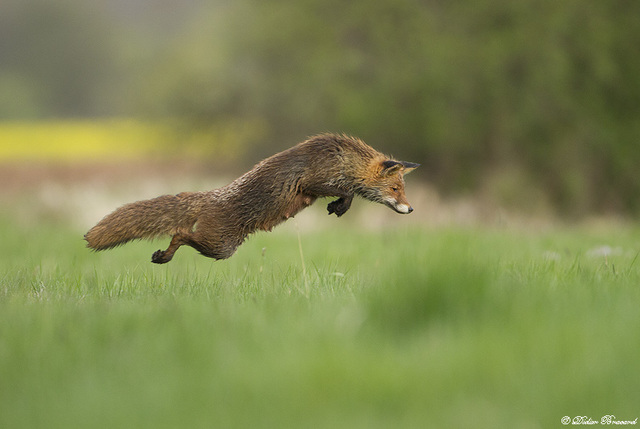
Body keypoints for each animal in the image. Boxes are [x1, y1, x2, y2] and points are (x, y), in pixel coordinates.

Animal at [85, 132, 420, 262]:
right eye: (395, 190)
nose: (411, 209)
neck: (342, 159)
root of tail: (211, 196)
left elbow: (347, 191)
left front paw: (339, 207)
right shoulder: (311, 182)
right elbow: (347, 191)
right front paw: (340, 206)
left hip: (222, 247)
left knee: (180, 234)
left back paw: (164, 256)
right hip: (221, 247)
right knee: (179, 233)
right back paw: (163, 256)